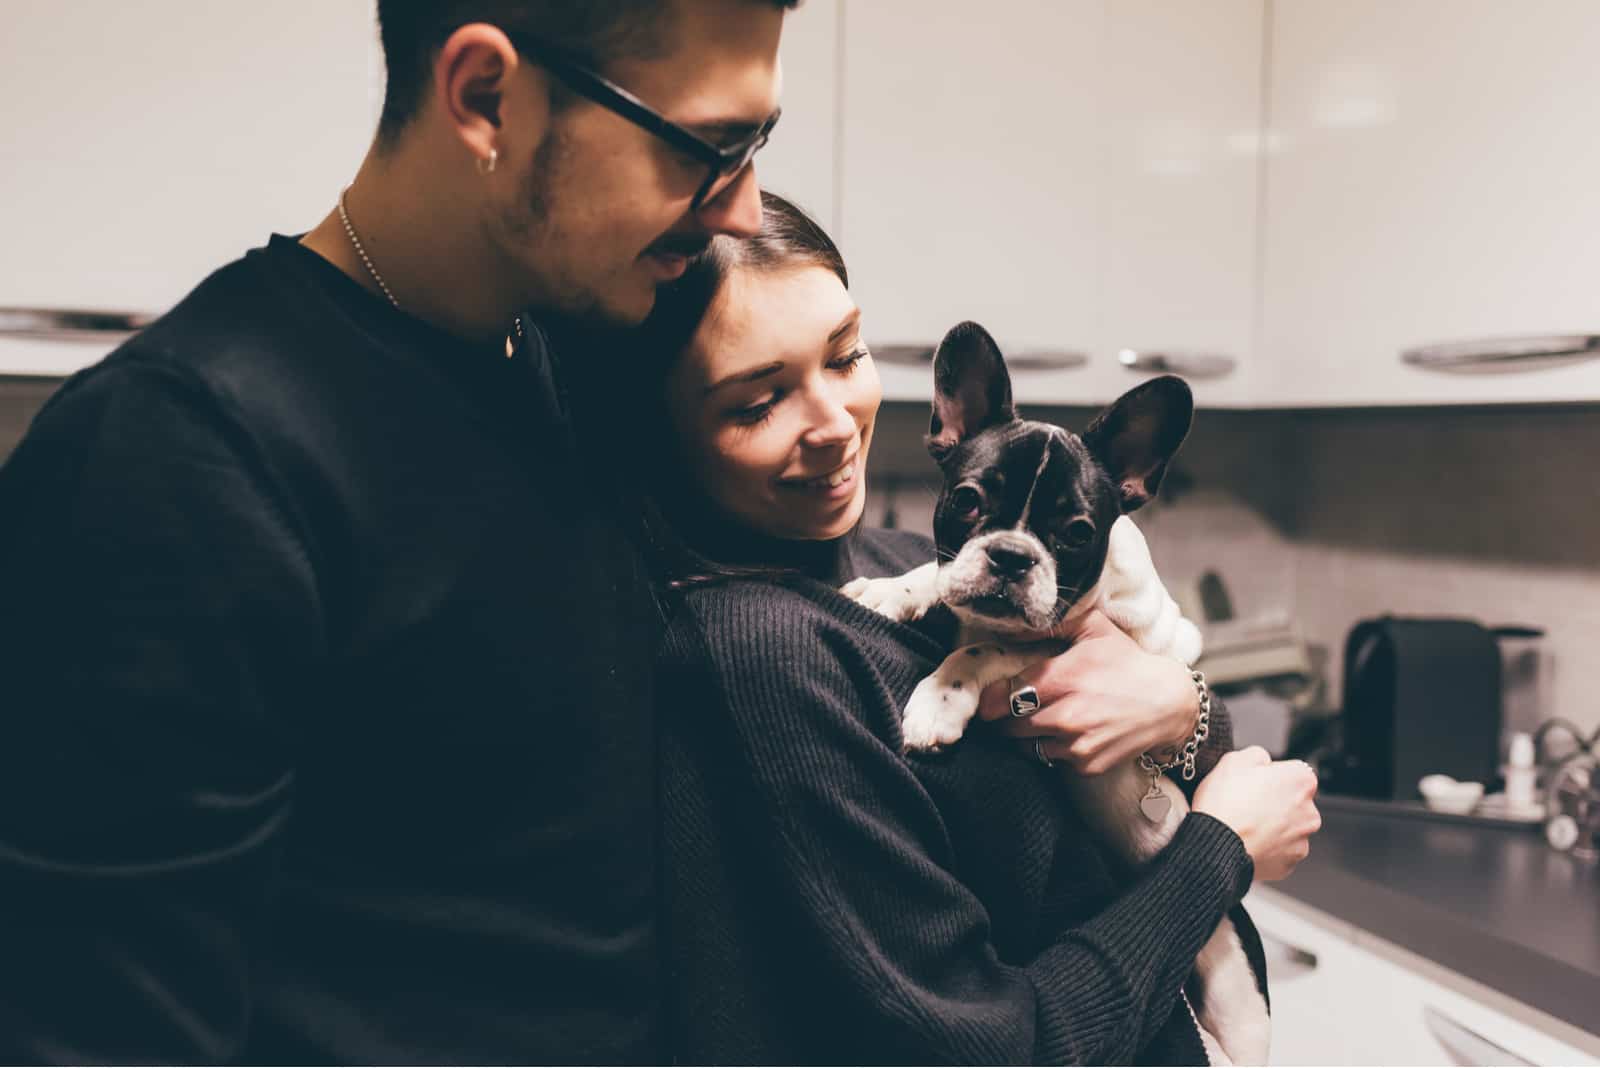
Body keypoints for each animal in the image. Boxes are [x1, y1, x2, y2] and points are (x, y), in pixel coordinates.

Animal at [844, 321, 1267, 1061]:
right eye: (967, 500)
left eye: (1077, 533)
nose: (1012, 556)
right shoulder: (966, 584)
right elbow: (939, 576)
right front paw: (889, 590)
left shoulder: (1070, 641)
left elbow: (986, 648)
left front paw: (939, 698)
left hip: (1240, 1005)